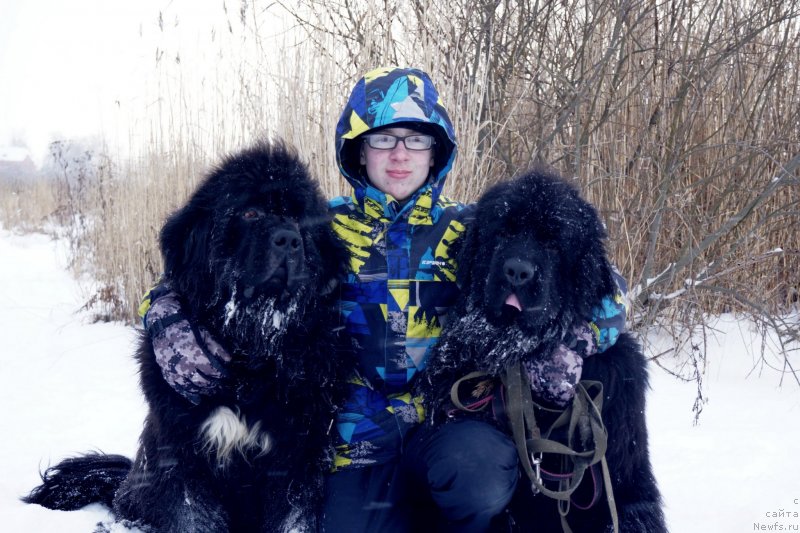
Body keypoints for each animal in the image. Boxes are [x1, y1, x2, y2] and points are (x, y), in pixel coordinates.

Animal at [23, 139, 354, 528]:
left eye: (302, 220)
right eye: (250, 213)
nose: (288, 239)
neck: (249, 349)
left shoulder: (297, 455)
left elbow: (293, 518)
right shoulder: (182, 454)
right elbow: (190, 515)